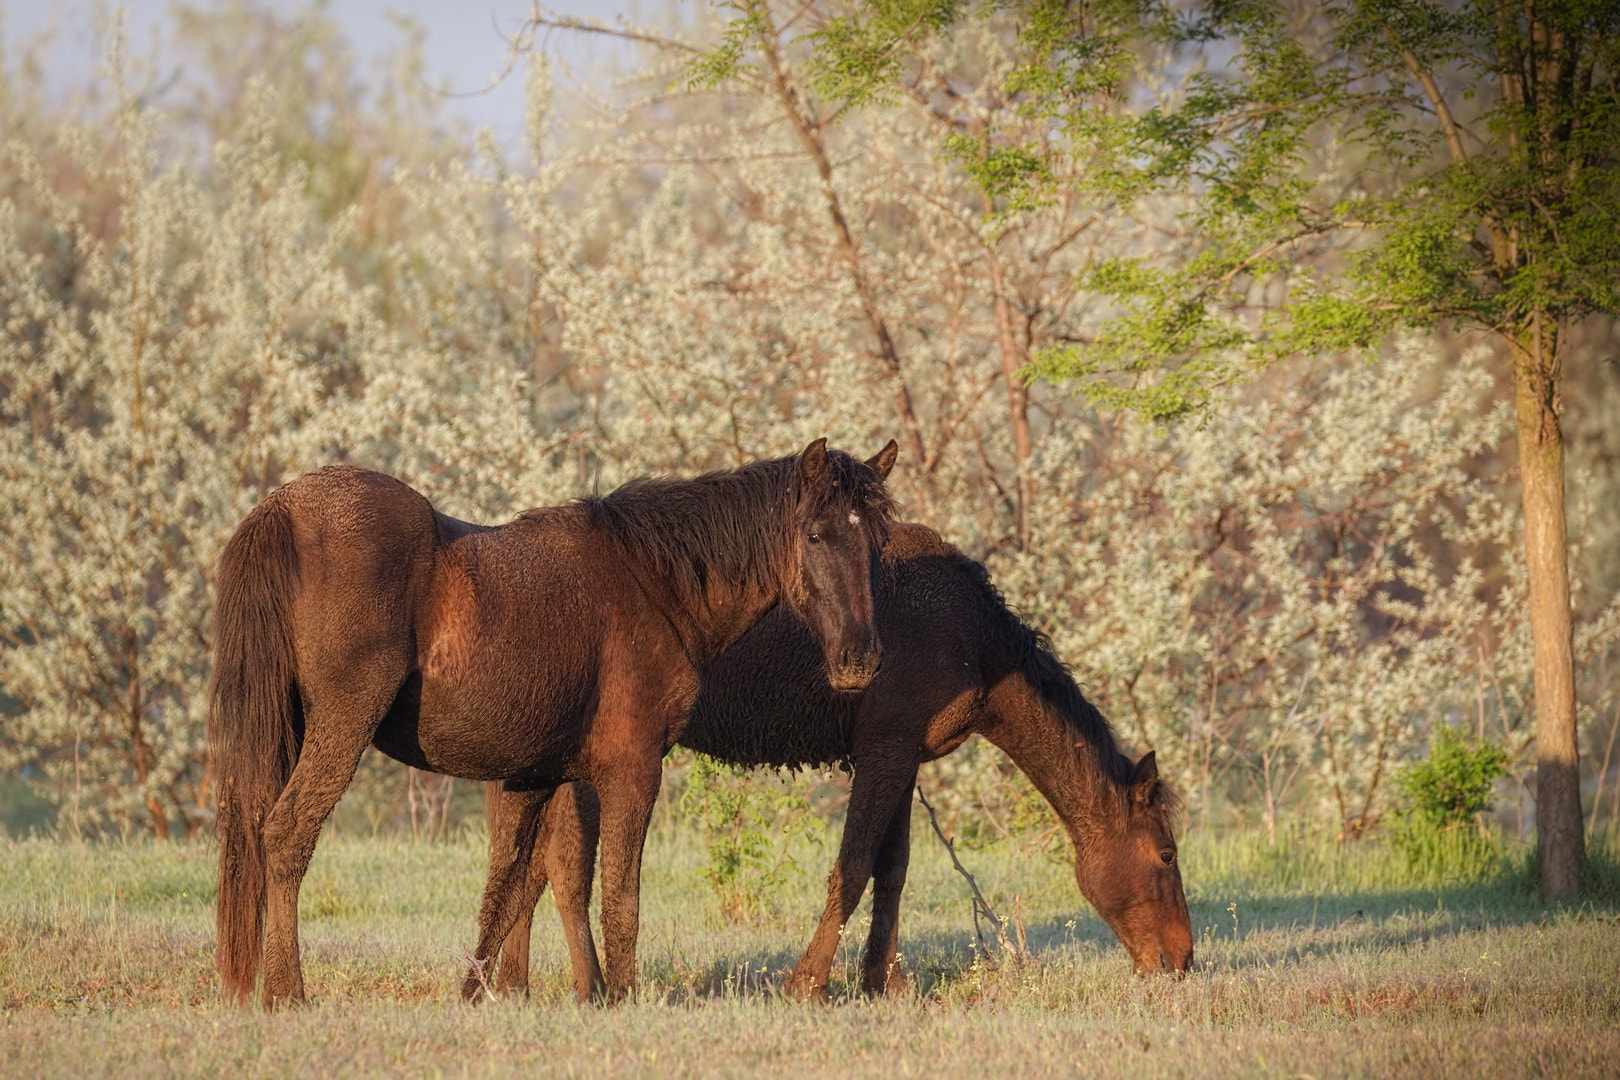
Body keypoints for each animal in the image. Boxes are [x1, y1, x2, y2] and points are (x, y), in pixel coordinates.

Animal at [208, 433, 900, 1010]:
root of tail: (283, 509)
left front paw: (480, 996)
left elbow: (513, 885)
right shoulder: (631, 771)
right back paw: (287, 993)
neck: (651, 584)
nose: (861, 660)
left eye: (875, 543)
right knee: (287, 834)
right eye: (815, 536)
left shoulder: (534, 777)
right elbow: (619, 896)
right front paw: (621, 999)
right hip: (341, 726)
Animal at [473, 518, 1198, 1003]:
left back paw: (513, 983)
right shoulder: (883, 748)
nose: (1182, 959)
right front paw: (809, 981)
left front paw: (882, 980)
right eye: (1166, 854)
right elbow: (851, 869)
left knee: (530, 864)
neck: (978, 645)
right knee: (562, 865)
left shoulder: (903, 755)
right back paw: (577, 984)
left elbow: (891, 871)